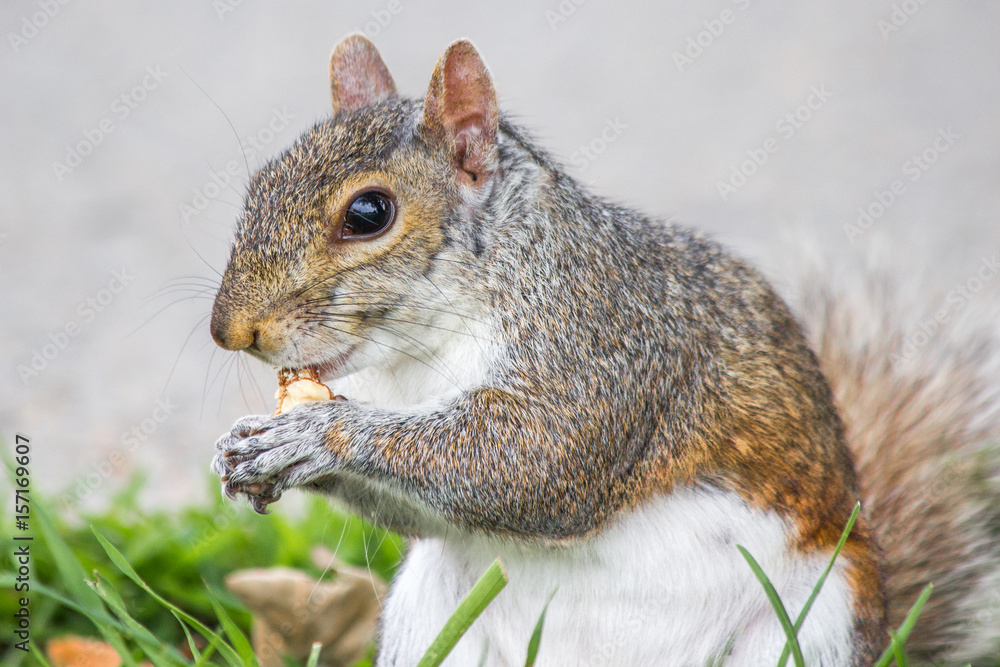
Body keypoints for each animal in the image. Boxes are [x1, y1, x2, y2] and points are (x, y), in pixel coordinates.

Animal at [209, 34, 1000, 666]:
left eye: (369, 213)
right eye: (257, 186)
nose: (231, 331)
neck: (426, 347)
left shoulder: (607, 345)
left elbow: (535, 460)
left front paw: (315, 433)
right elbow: (431, 509)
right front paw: (244, 447)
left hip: (818, 621)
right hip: (428, 618)